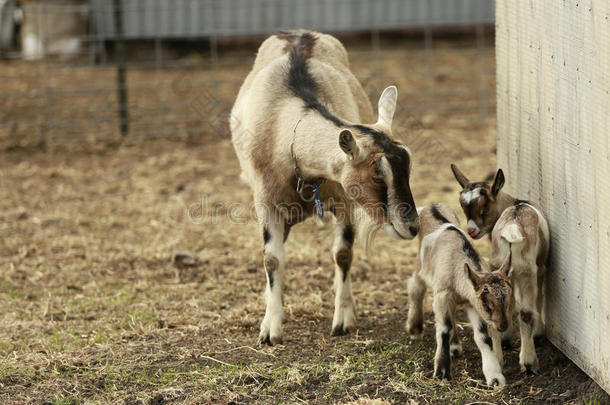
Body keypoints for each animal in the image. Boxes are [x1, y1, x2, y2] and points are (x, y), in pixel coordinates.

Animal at [229, 30, 418, 344]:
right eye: (378, 176)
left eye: (408, 167)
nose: (413, 227)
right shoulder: (265, 201)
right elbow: (272, 259)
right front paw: (270, 329)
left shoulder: (344, 200)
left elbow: (342, 254)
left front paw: (343, 319)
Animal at [406, 204, 510, 386]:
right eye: (487, 305)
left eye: (508, 301)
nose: (503, 326)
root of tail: (430, 206)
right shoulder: (442, 294)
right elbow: (444, 329)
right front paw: (441, 372)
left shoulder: (471, 301)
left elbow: (483, 336)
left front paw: (495, 378)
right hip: (422, 265)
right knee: (415, 286)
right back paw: (415, 328)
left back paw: (454, 347)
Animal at [448, 164, 548, 372]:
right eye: (464, 207)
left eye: (485, 207)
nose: (472, 231)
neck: (516, 202)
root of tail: (513, 226)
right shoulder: (540, 267)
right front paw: (538, 335)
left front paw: (506, 337)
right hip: (526, 271)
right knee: (526, 312)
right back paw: (529, 362)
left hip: (496, 265)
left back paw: (499, 356)